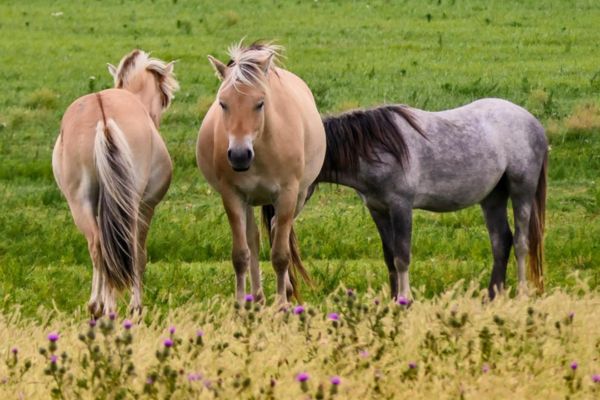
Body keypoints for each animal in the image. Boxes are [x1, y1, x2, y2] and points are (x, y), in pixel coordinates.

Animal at [52, 50, 178, 316]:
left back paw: (98, 306)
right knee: (128, 247)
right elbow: (139, 253)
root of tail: (104, 119)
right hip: (131, 205)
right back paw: (116, 307)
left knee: (98, 246)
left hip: (80, 203)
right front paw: (135, 305)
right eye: (164, 98)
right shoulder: (146, 206)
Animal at [198, 43, 326, 304]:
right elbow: (241, 254)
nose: (239, 155)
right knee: (254, 239)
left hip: (298, 197)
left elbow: (280, 255)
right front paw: (239, 304)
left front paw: (282, 304)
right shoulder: (232, 195)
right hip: (249, 201)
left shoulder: (287, 194)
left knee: (277, 229)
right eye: (223, 103)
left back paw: (285, 291)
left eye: (260, 103)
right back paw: (256, 297)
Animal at [314, 99, 548, 300]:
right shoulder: (377, 209)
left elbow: (401, 257)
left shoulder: (401, 206)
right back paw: (493, 297)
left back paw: (521, 294)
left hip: (522, 190)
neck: (376, 149)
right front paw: (392, 300)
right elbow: (389, 258)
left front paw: (405, 299)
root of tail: (534, 123)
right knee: (501, 241)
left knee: (520, 243)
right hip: (493, 197)